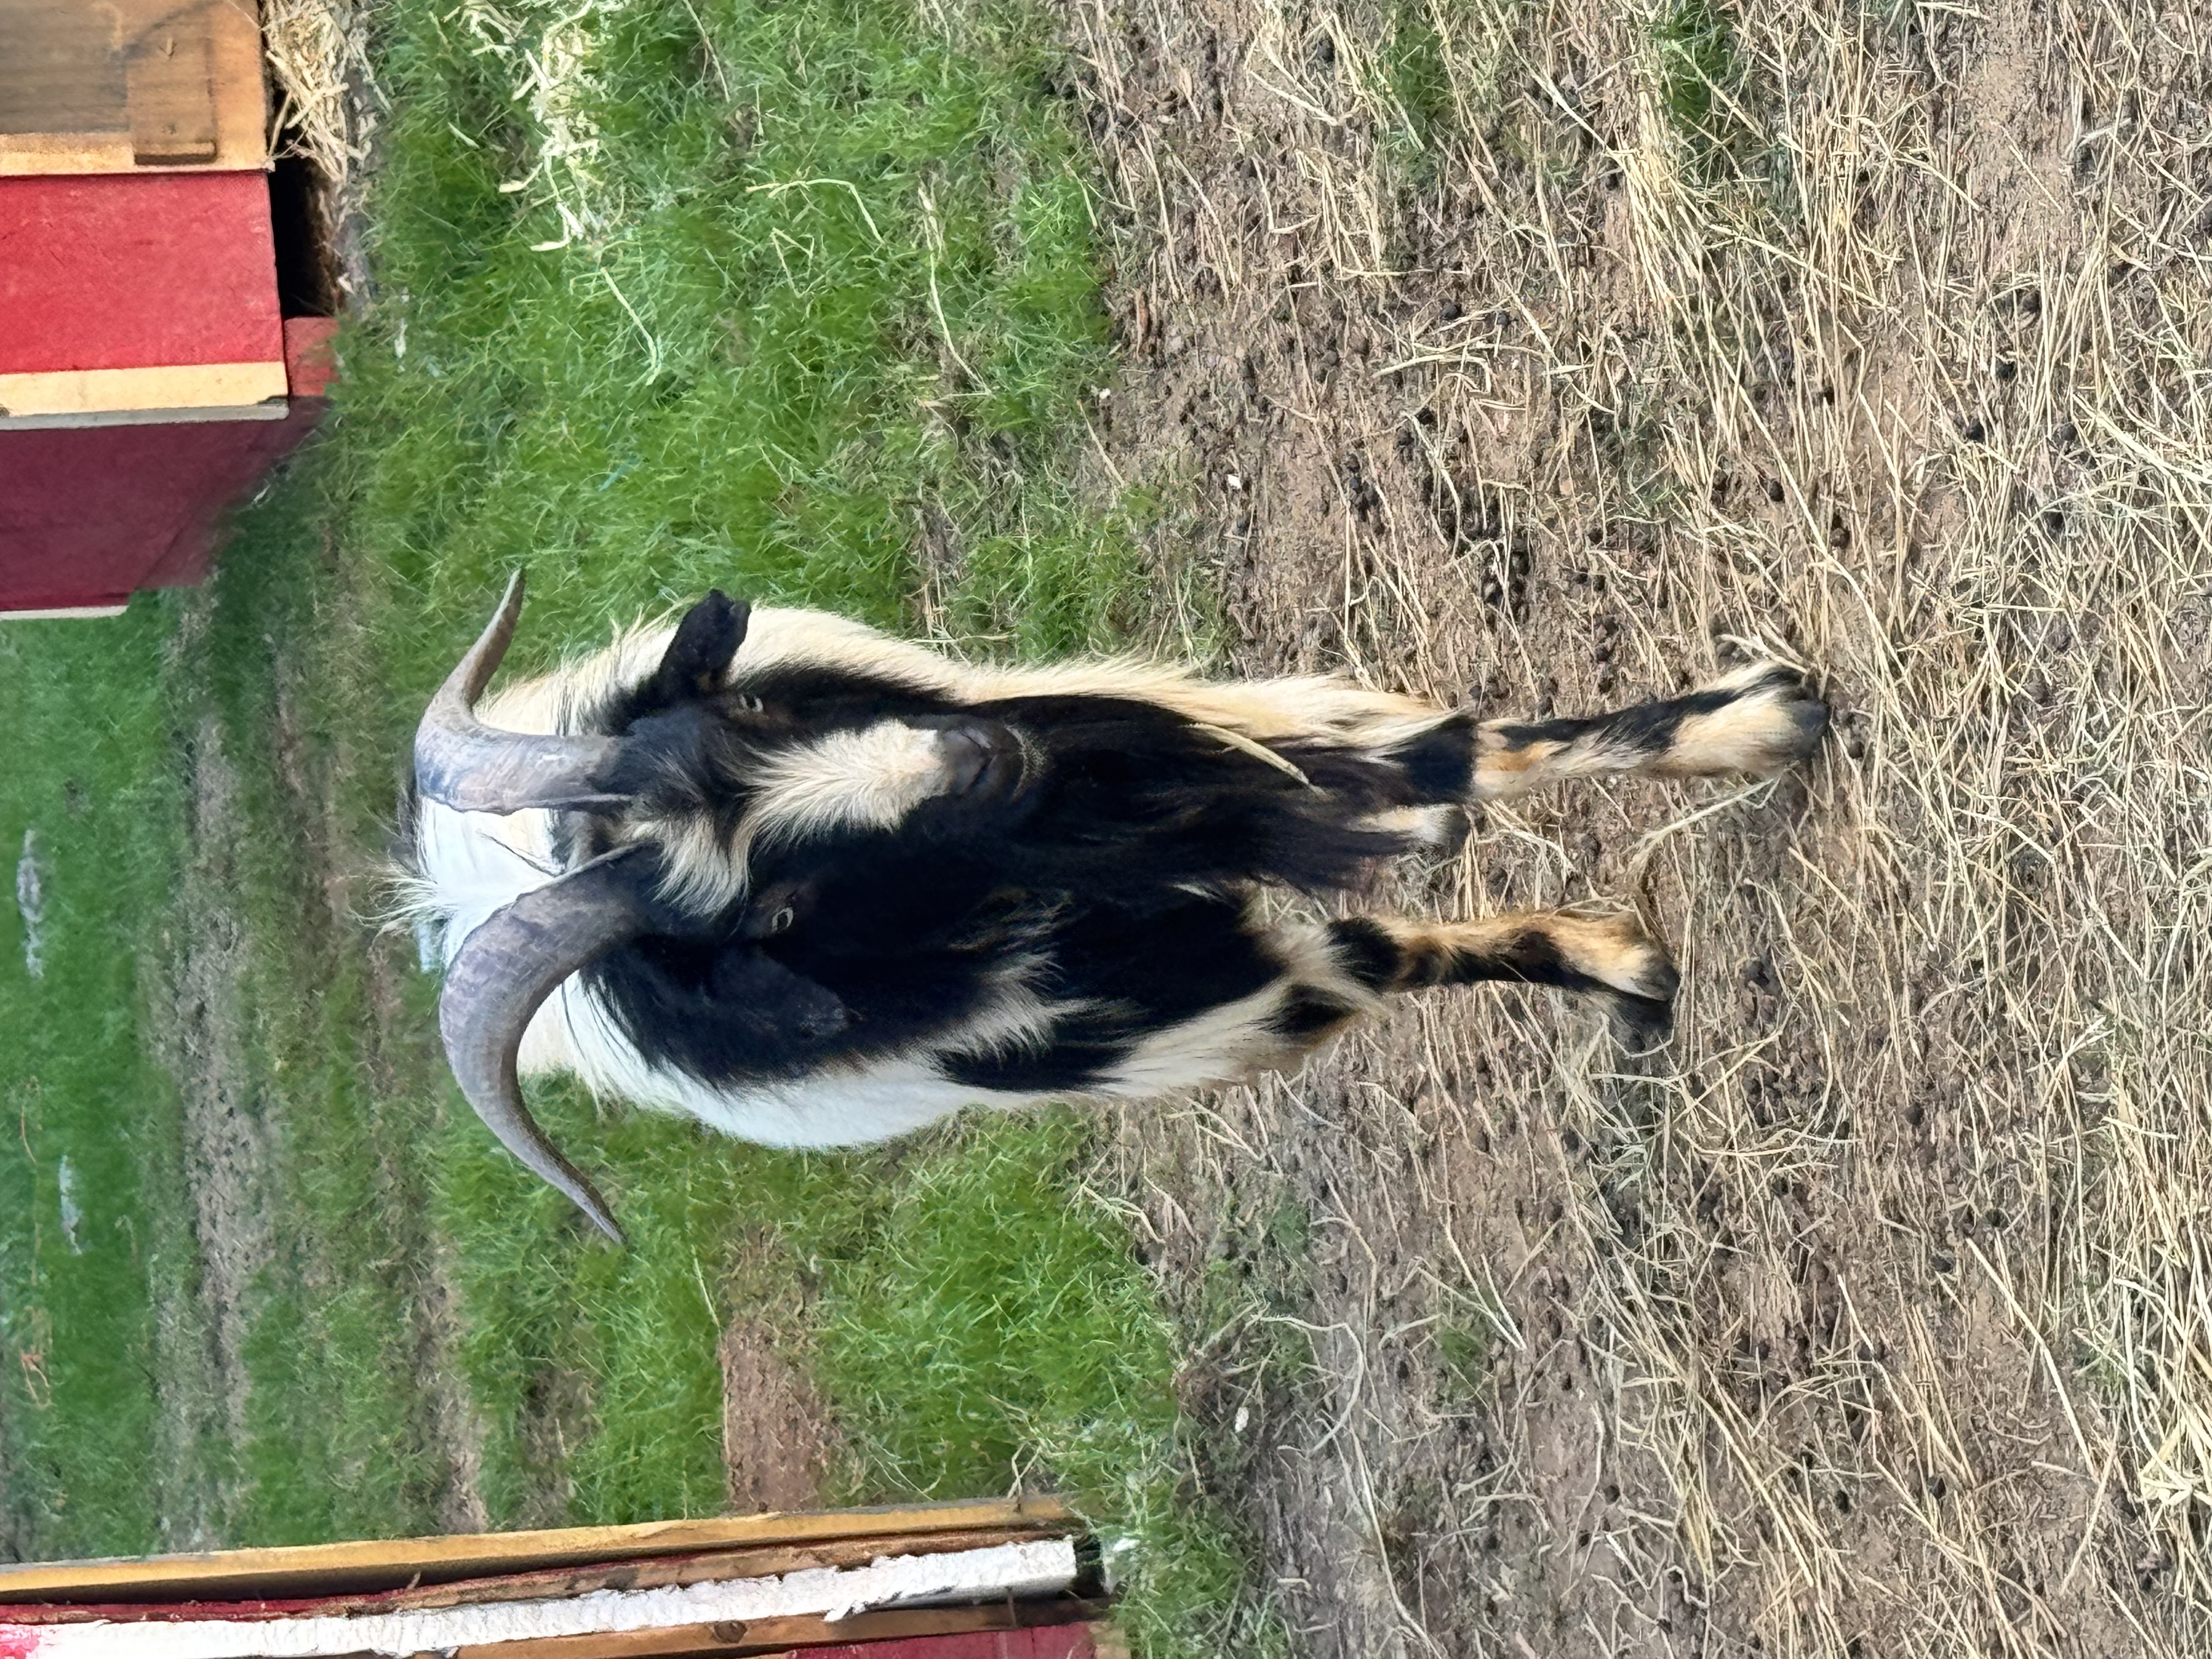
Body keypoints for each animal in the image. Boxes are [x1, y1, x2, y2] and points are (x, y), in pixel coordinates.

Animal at [404, 573, 1826, 1241]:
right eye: (772, 914)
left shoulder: (1183, 750)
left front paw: (1759, 724)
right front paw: (1624, 967)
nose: (971, 760)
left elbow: (1456, 757)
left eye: (750, 712)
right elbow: (1395, 951)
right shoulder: (1212, 998)